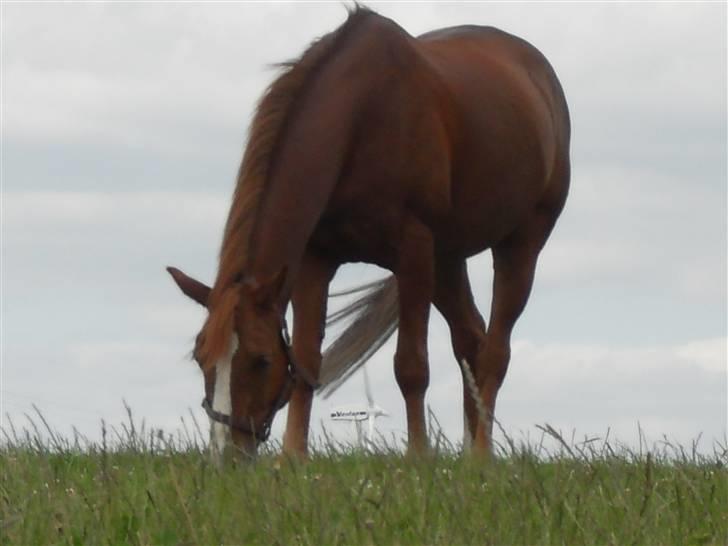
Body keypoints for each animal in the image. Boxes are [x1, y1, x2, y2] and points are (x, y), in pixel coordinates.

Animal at [169, 6, 568, 456]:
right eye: (200, 358)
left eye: (261, 360)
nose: (228, 454)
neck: (360, 120)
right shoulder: (316, 260)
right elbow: (307, 359)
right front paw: (292, 458)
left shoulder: (413, 251)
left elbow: (411, 366)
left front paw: (418, 457)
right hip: (447, 259)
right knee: (471, 340)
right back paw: (468, 455)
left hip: (520, 243)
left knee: (496, 351)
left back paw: (481, 452)